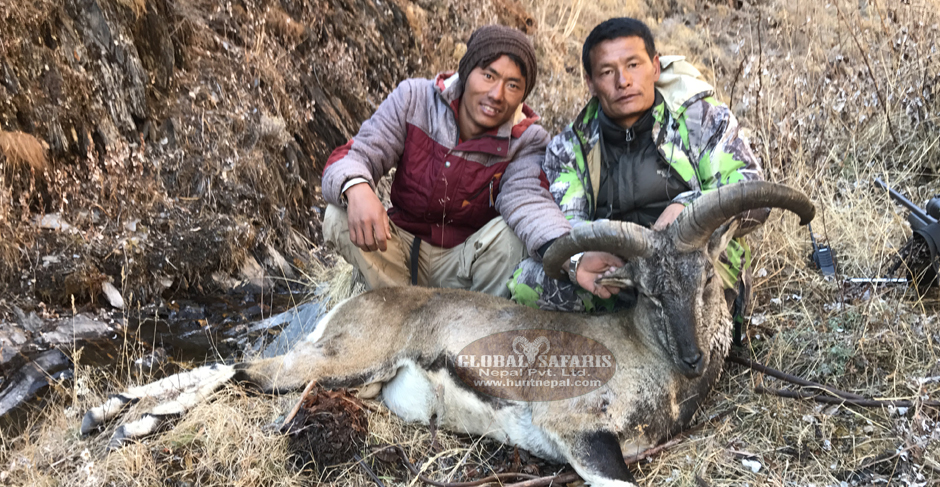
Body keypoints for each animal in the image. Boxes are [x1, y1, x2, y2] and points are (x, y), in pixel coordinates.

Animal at [81, 181, 814, 486]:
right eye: (650, 289)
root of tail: (365, 302)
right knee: (242, 371)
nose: (691, 356)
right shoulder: (581, 432)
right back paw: (127, 418)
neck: (648, 367)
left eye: (707, 278)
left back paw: (108, 411)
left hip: (356, 379)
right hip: (343, 360)